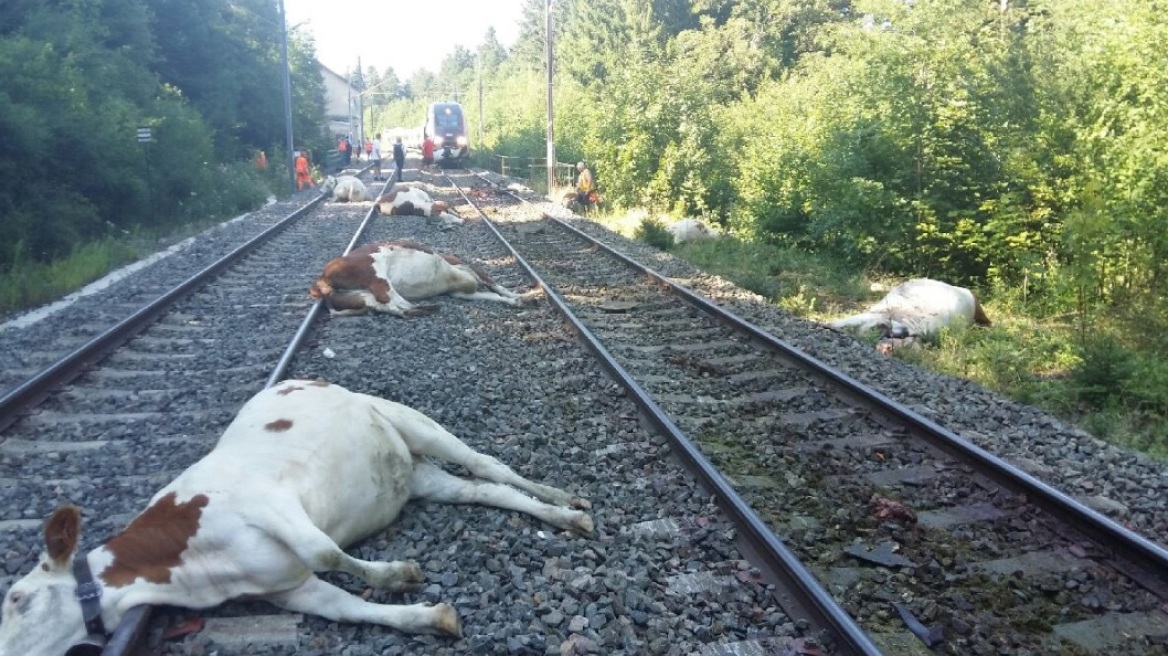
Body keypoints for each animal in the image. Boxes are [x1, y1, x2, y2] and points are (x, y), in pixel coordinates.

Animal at [0, 378, 598, 653]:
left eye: (18, 598)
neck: (191, 570)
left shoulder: (269, 502)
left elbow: (325, 550)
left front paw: (400, 573)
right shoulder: (285, 589)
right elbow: (347, 607)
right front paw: (429, 617)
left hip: (413, 421)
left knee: (488, 464)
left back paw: (563, 497)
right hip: (421, 478)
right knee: (484, 492)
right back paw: (563, 517)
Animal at [310, 240, 530, 317]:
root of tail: (322, 277)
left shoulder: (461, 292)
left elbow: (492, 295)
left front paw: (513, 300)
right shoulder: (469, 270)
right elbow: (496, 285)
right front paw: (518, 297)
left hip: (358, 296)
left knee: (391, 307)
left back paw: (424, 309)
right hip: (376, 272)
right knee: (392, 300)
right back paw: (428, 307)